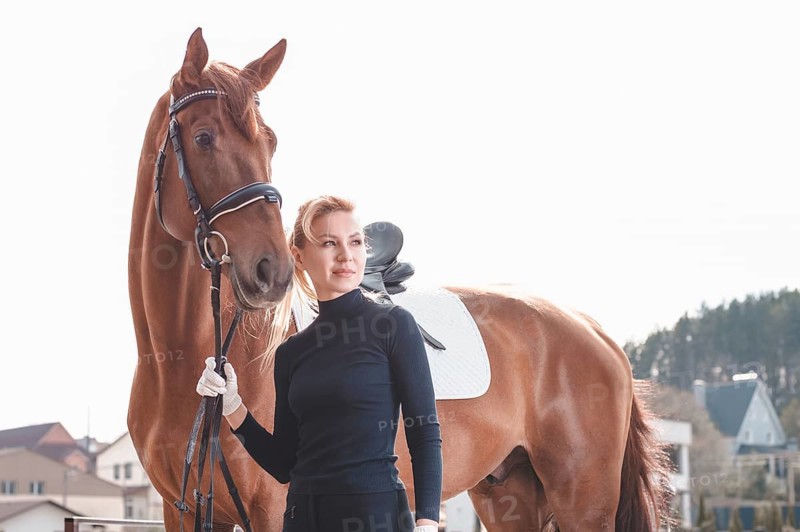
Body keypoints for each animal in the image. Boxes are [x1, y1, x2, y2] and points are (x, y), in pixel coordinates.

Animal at [128, 29, 672, 531]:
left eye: (271, 143)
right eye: (203, 138)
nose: (272, 271)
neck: (178, 358)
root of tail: (595, 333)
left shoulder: (273, 509)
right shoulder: (182, 511)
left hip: (582, 501)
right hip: (510, 494)